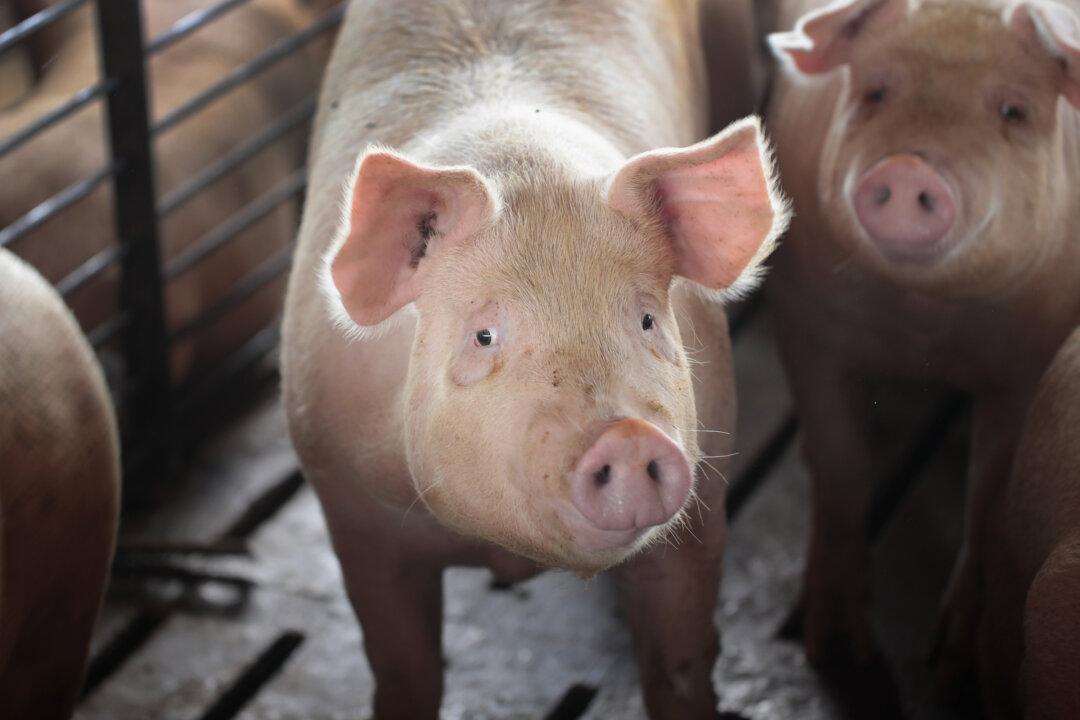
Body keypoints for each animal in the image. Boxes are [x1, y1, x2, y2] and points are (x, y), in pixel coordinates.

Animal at [280, 0, 789, 716]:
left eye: (646, 319)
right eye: (484, 336)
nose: (627, 436)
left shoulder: (703, 497)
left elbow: (681, 660)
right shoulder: (352, 511)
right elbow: (405, 669)